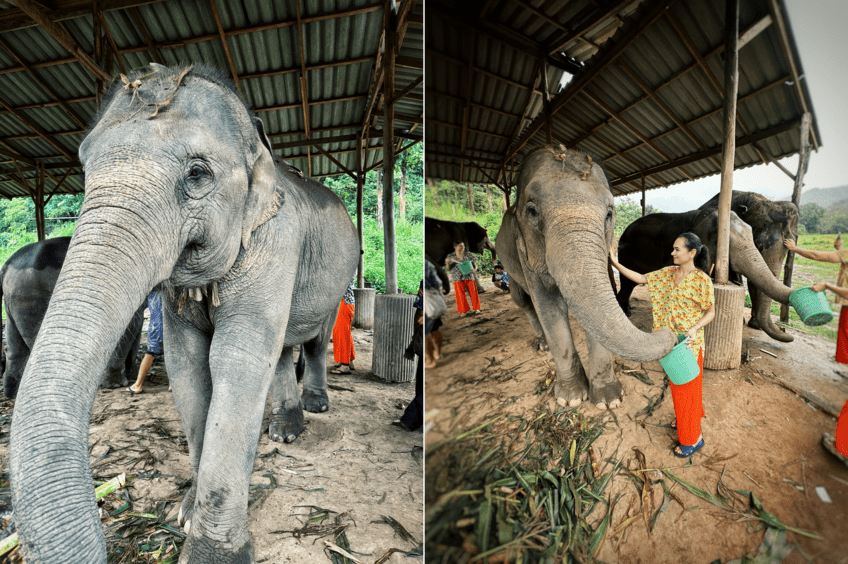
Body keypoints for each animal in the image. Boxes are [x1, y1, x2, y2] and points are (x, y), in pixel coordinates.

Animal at [0, 236, 144, 398]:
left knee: (15, 348)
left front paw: (132, 375)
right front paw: (117, 385)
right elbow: (130, 325)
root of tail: (6, 265)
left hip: (14, 301)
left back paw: (12, 394)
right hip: (31, 299)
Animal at [496, 145, 676, 410]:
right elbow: (549, 309)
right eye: (531, 211)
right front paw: (570, 399)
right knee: (523, 301)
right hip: (508, 262)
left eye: (609, 214)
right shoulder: (526, 253)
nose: (671, 333)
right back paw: (543, 345)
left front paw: (609, 400)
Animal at [612, 206, 800, 340]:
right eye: (727, 244)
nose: (785, 331)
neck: (702, 216)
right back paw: (626, 313)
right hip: (626, 253)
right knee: (628, 283)